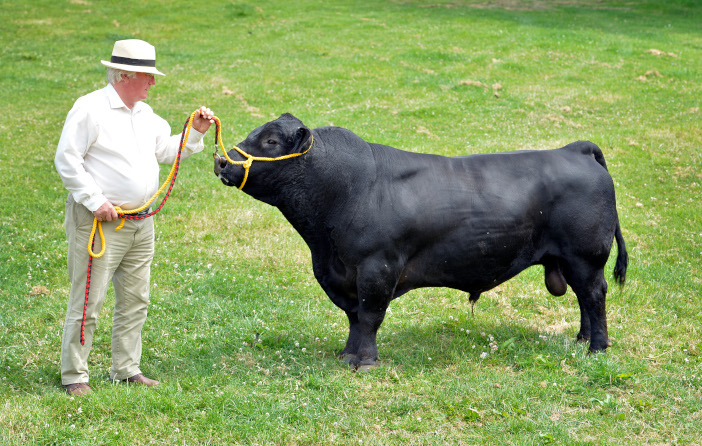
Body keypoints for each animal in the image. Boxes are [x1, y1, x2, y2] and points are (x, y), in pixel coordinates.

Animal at [213, 114, 628, 370]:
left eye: (270, 140)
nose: (222, 161)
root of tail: (573, 150)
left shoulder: (377, 267)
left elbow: (369, 315)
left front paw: (365, 361)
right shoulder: (342, 274)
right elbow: (353, 317)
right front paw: (347, 355)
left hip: (586, 257)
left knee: (594, 295)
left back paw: (597, 347)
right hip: (571, 261)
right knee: (584, 299)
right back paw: (581, 339)